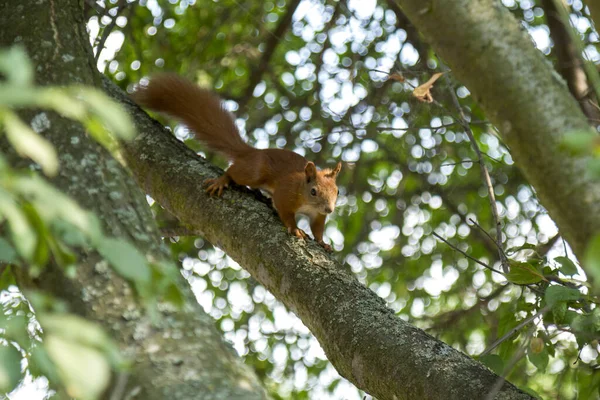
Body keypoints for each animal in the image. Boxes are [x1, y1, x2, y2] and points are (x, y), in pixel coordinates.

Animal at [135, 72, 342, 250]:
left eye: (337, 192)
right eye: (313, 191)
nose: (329, 209)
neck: (306, 199)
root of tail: (253, 152)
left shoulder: (317, 215)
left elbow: (318, 229)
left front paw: (323, 243)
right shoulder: (286, 193)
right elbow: (285, 212)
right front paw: (295, 228)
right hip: (254, 172)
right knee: (234, 171)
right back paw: (222, 181)